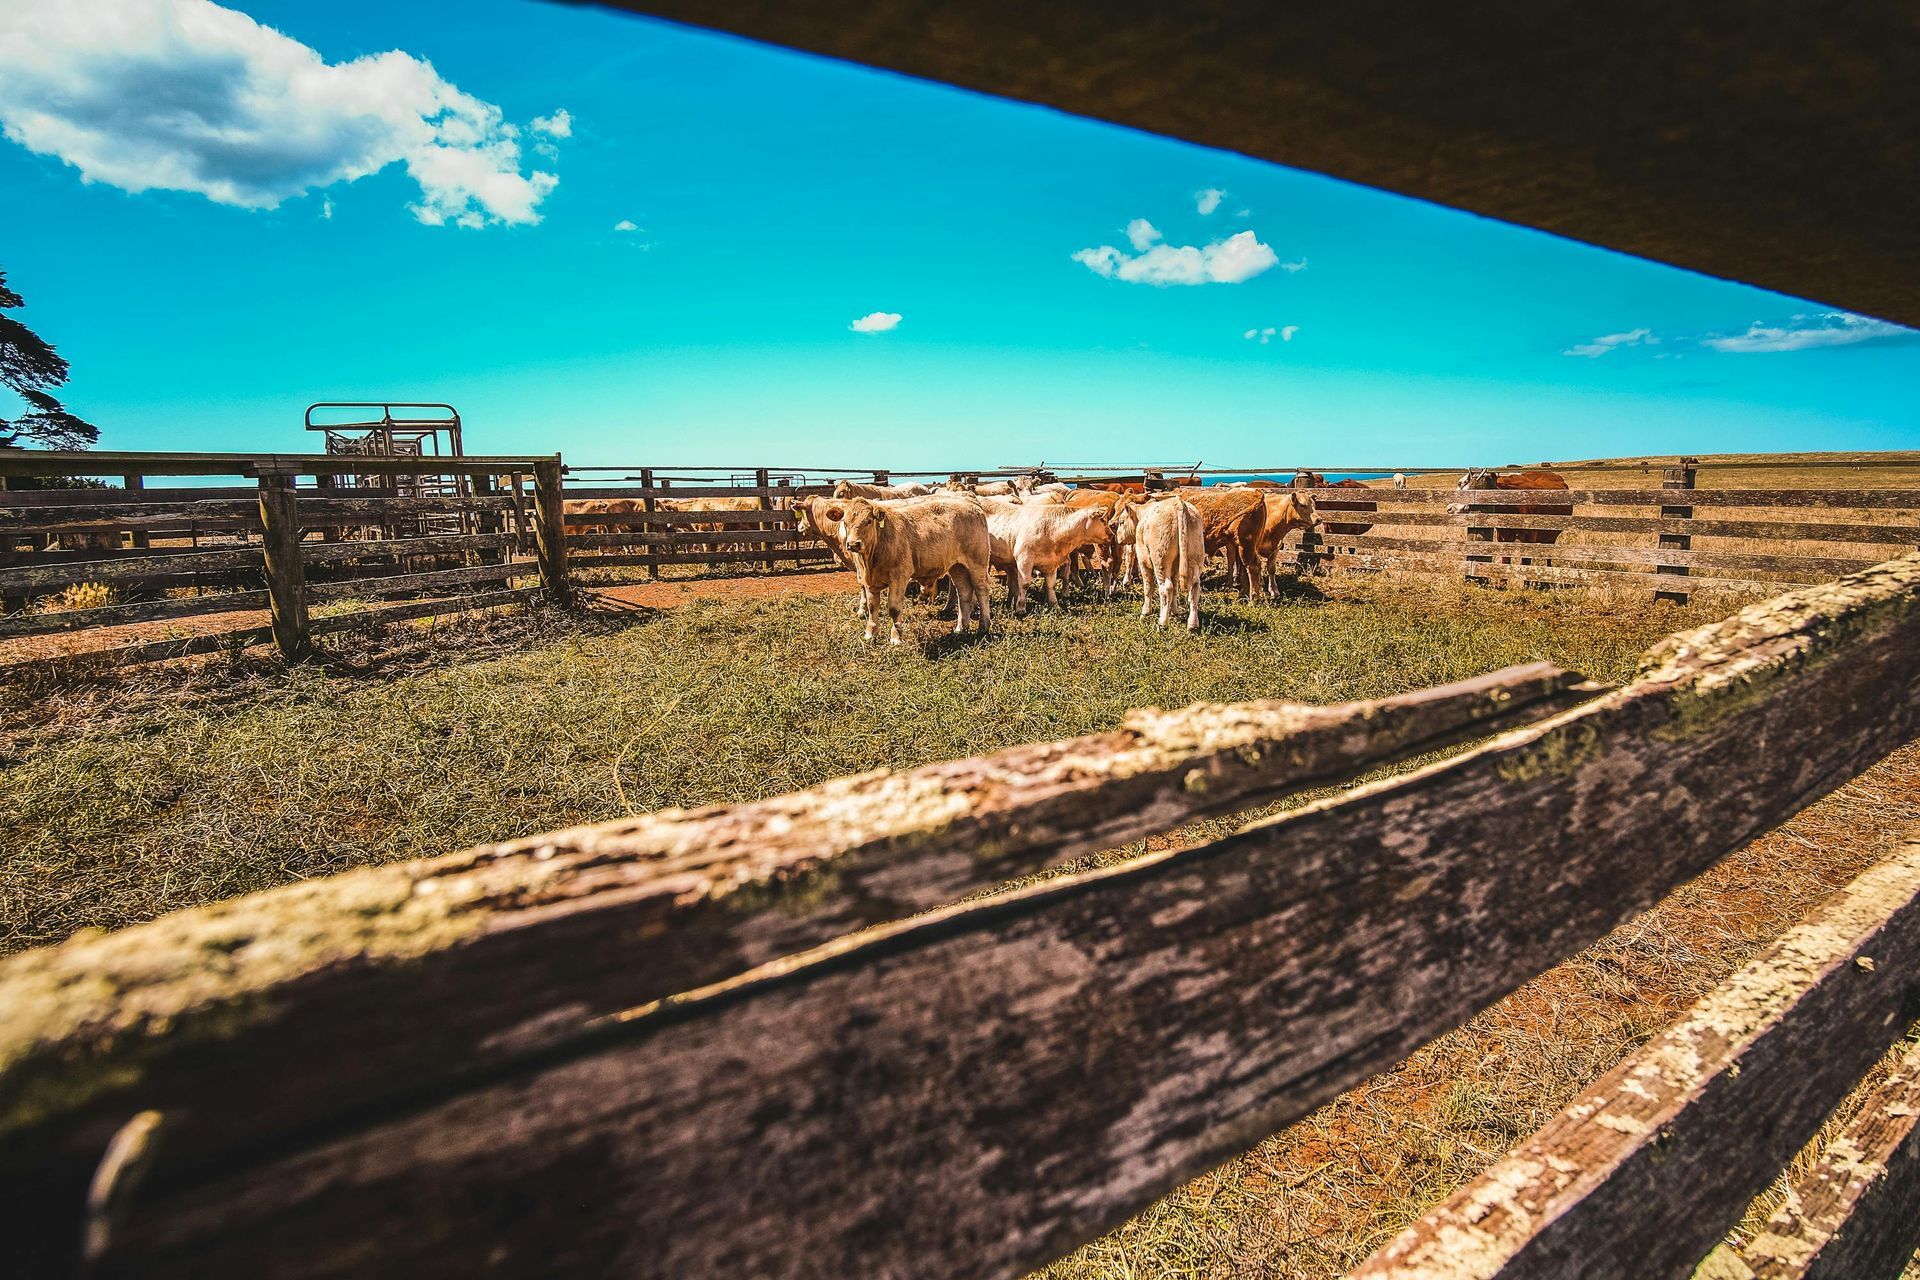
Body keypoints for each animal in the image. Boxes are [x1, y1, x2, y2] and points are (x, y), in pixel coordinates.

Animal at [829, 495, 992, 644]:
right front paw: (870, 634)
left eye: (868, 521)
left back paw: (984, 626)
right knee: (964, 593)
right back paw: (961, 628)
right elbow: (872, 606)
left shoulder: (899, 577)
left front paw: (896, 638)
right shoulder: (870, 582)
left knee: (981, 590)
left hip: (978, 563)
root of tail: (971, 503)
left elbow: (894, 608)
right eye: (845, 522)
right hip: (957, 567)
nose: (853, 544)